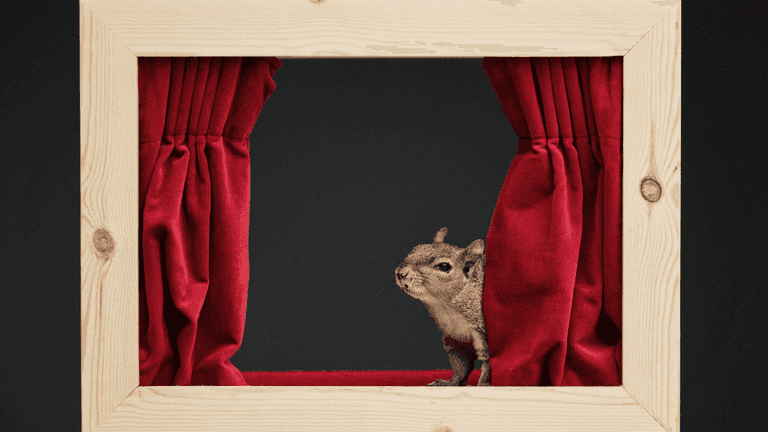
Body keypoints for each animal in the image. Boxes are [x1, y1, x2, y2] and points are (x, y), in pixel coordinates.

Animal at [395, 227, 491, 386]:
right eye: (414, 249)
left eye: (444, 266)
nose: (401, 273)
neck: (446, 307)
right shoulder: (454, 338)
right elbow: (460, 365)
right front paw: (450, 382)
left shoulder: (482, 332)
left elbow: (487, 365)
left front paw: (482, 385)